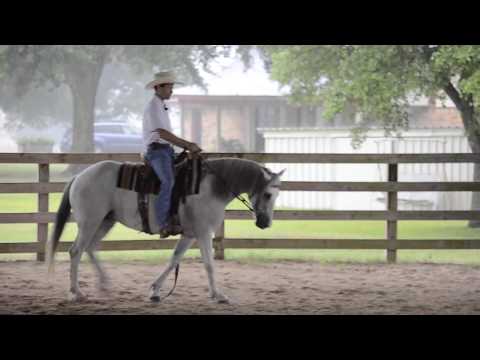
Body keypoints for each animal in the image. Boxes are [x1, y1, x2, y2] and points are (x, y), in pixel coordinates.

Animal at [47, 158, 284, 304]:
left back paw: (104, 284)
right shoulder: (203, 233)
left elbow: (174, 260)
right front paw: (218, 295)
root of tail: (79, 176)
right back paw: (76, 292)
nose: (265, 223)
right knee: (76, 251)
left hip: (105, 221)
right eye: (268, 195)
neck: (211, 188)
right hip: (90, 222)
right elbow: (209, 265)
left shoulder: (189, 235)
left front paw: (155, 291)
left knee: (90, 248)